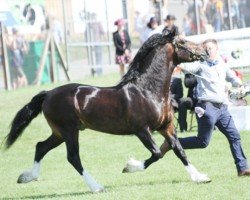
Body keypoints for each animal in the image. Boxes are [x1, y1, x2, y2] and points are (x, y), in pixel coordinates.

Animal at [4, 29, 210, 192]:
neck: (147, 91)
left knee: (41, 147)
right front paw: (129, 167)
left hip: (59, 132)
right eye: (183, 42)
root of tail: (48, 94)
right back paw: (96, 187)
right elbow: (157, 153)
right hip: (69, 131)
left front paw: (200, 177)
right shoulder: (142, 130)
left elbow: (179, 150)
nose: (206, 51)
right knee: (73, 157)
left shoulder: (166, 127)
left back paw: (27, 177)